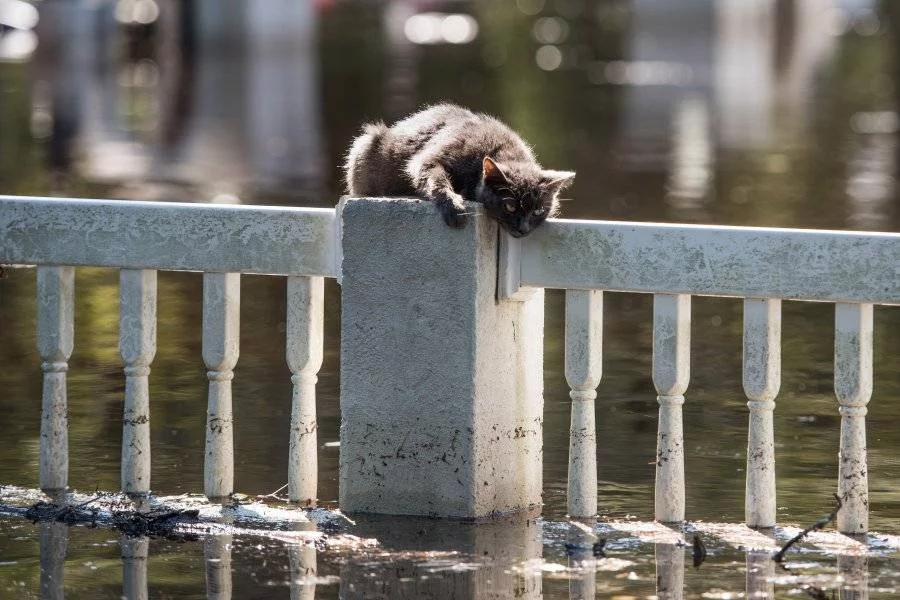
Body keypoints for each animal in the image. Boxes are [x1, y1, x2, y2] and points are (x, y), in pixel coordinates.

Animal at [344, 103, 576, 237]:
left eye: (538, 210)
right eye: (510, 206)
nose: (523, 229)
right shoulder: (432, 158)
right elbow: (436, 179)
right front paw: (455, 207)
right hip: (364, 146)